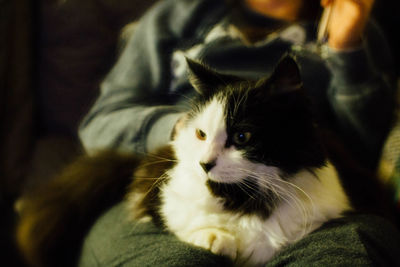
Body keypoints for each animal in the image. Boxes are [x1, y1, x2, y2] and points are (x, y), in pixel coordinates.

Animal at [17, 55, 352, 266]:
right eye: (202, 134)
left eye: (242, 137)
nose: (205, 164)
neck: (244, 196)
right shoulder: (169, 202)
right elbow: (190, 224)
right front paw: (218, 238)